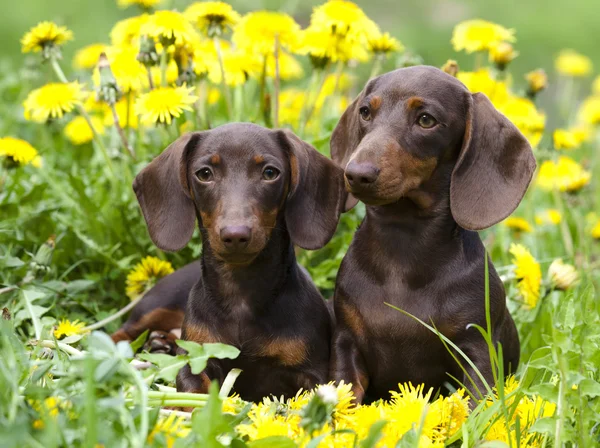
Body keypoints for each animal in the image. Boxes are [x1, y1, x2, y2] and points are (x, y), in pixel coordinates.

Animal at [133, 123, 344, 402]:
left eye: (270, 172)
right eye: (204, 173)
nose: (235, 234)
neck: (241, 293)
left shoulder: (312, 372)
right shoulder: (195, 359)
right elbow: (192, 389)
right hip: (152, 306)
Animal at [330, 65, 536, 402]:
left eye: (426, 120)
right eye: (365, 112)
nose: (356, 173)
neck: (402, 247)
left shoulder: (477, 349)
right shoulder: (346, 342)